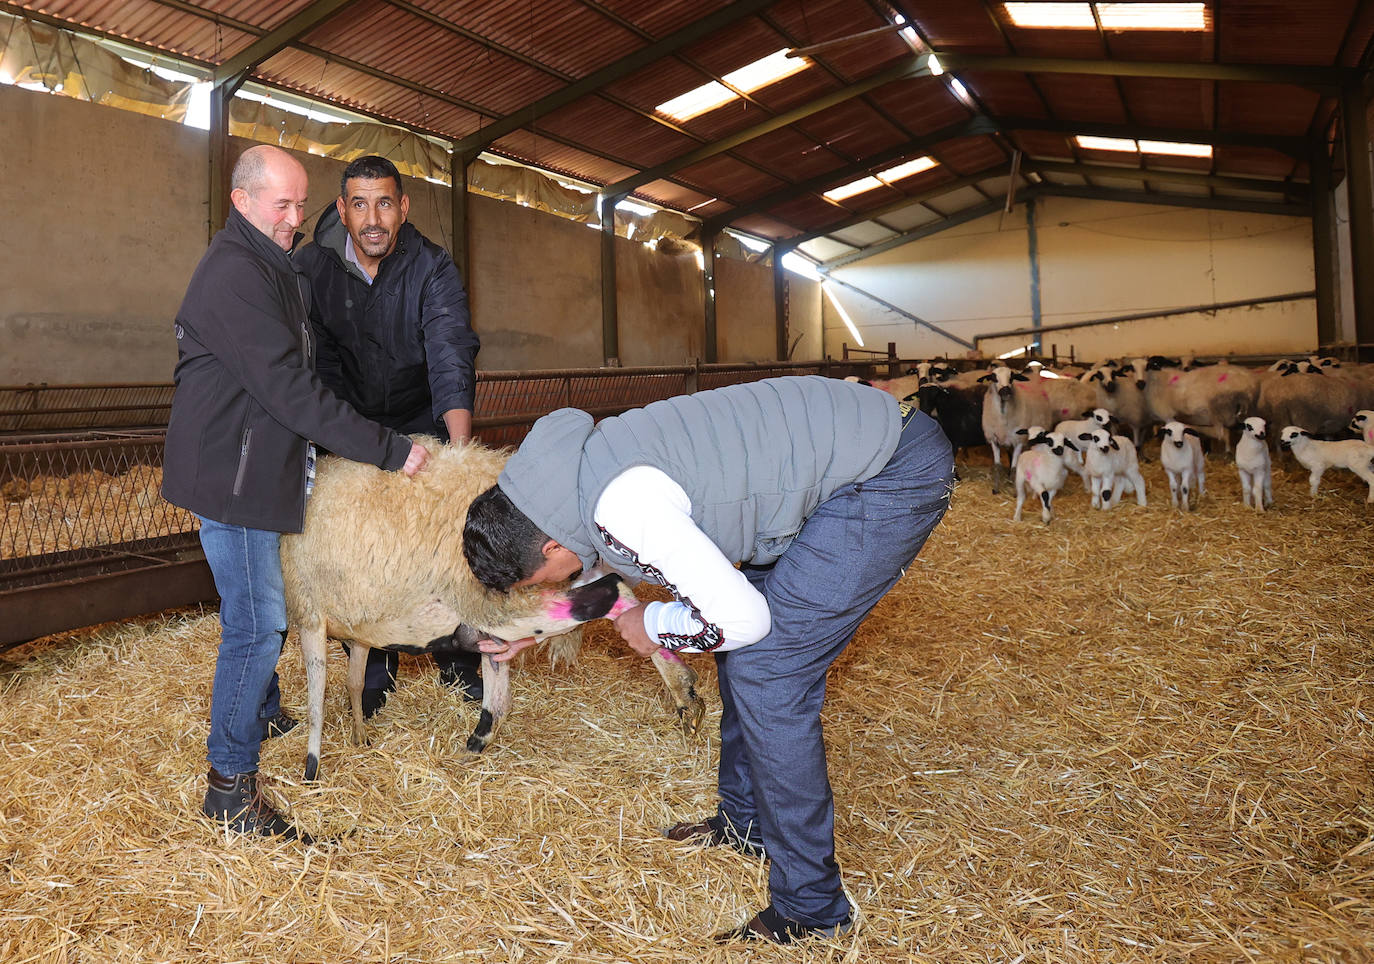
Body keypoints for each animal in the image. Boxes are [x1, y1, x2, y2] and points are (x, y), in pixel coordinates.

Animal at [280, 442, 708, 779]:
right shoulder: (359, 627)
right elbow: (353, 682)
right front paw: (359, 735)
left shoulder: (310, 613)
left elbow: (317, 698)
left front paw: (311, 768)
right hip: (504, 606)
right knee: (501, 696)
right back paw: (473, 745)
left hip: (502, 600)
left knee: (611, 591)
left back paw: (682, 688)